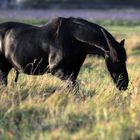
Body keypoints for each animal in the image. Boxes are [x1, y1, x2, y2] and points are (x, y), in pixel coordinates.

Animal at [0, 17, 129, 90]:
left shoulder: (73, 71)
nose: (124, 84)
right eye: (118, 59)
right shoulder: (56, 70)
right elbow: (74, 87)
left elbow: (71, 87)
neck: (74, 39)